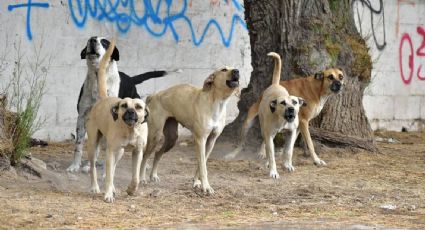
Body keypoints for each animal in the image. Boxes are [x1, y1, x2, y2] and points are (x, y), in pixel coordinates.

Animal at [66, 36, 172, 172]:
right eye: (89, 40)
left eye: (104, 42)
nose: (93, 40)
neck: (98, 79)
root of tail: (131, 79)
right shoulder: (82, 117)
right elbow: (79, 145)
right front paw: (75, 166)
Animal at [85, 40, 148, 203]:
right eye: (124, 105)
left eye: (138, 107)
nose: (130, 112)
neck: (130, 130)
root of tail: (104, 99)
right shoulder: (110, 151)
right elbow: (108, 176)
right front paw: (107, 194)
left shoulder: (138, 152)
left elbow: (136, 177)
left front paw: (131, 189)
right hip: (94, 146)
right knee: (94, 168)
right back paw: (95, 187)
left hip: (119, 152)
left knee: (112, 169)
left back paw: (113, 188)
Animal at [139, 65, 238, 195]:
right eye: (224, 70)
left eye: (234, 68)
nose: (237, 71)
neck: (217, 102)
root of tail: (154, 95)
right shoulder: (200, 140)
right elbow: (203, 167)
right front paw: (206, 186)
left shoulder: (211, 141)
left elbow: (201, 164)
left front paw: (197, 183)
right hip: (155, 136)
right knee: (145, 156)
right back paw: (141, 178)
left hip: (171, 139)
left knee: (157, 153)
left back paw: (153, 175)